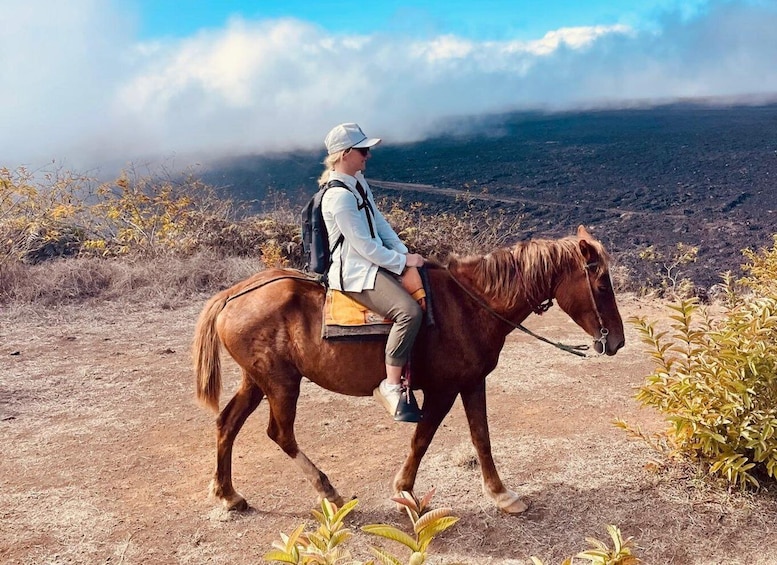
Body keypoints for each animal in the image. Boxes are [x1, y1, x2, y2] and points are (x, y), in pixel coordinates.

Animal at [192, 224, 624, 512]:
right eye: (602, 285)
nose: (617, 341)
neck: (469, 304)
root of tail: (233, 295)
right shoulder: (442, 390)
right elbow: (423, 438)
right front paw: (405, 491)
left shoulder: (471, 383)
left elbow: (481, 438)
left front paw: (500, 494)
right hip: (281, 383)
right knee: (280, 433)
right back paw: (327, 491)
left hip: (257, 380)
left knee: (227, 423)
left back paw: (229, 494)